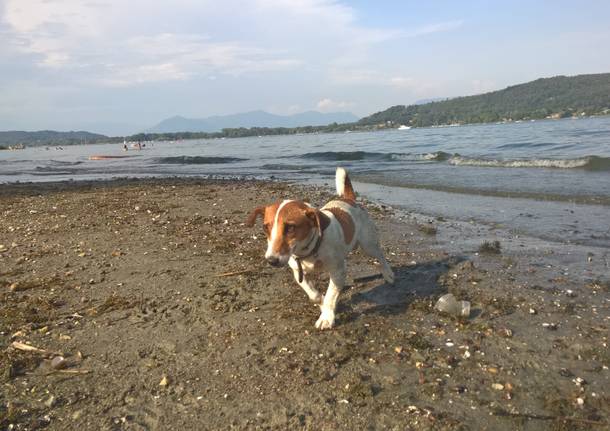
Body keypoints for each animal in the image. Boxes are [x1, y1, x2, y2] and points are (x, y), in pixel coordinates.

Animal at [245, 167, 392, 330]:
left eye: (291, 228)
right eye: (266, 227)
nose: (271, 260)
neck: (313, 248)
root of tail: (349, 199)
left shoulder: (338, 271)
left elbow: (330, 296)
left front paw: (327, 317)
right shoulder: (298, 272)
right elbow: (314, 295)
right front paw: (322, 305)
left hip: (368, 244)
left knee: (380, 256)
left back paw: (388, 274)